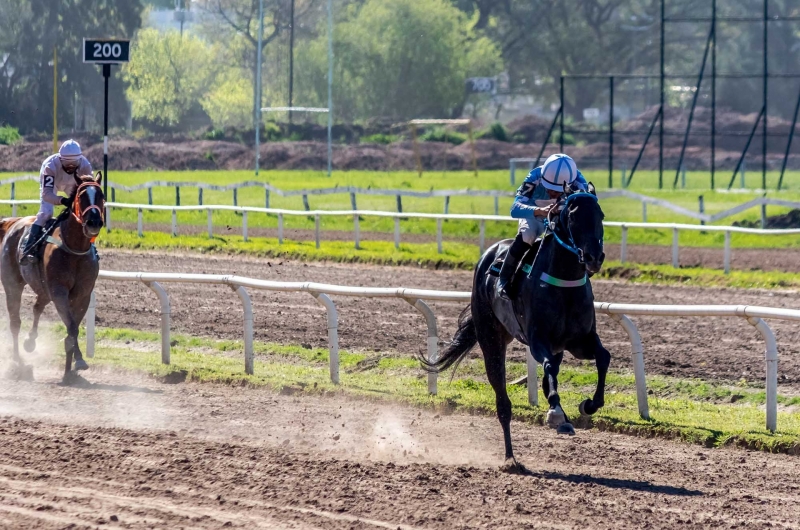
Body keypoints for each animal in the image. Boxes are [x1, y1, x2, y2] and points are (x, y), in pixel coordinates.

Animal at [0, 172, 105, 380]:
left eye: (101, 195)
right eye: (81, 196)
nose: (94, 222)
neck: (74, 248)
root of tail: (13, 222)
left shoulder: (83, 294)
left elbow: (74, 325)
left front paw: (76, 362)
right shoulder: (59, 291)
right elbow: (71, 326)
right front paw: (73, 363)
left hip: (43, 288)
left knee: (37, 307)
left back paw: (30, 342)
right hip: (12, 284)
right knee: (15, 322)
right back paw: (18, 362)